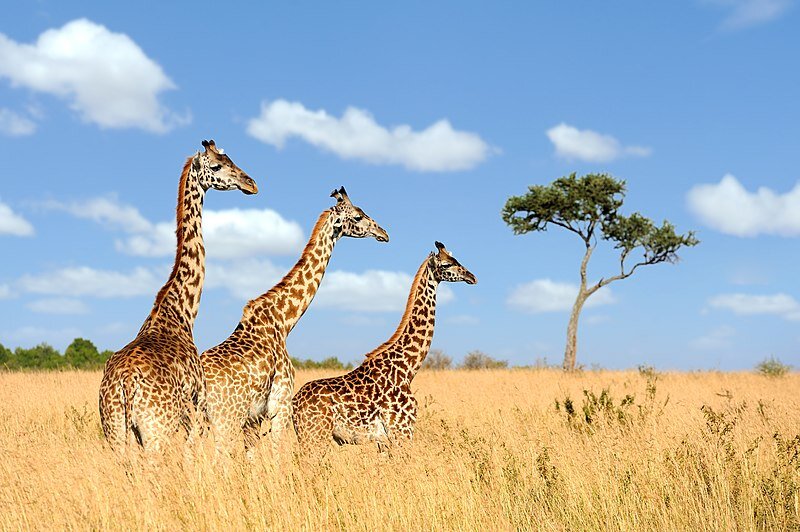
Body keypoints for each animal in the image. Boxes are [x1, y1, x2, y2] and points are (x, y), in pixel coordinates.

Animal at [98, 140, 258, 453]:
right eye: (217, 166)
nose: (252, 184)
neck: (181, 310)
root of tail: (124, 383)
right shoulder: (197, 406)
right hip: (155, 431)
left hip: (115, 432)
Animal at [201, 187, 389, 456]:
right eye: (358, 216)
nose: (384, 233)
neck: (283, 320)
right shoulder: (280, 404)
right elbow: (278, 454)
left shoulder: (255, 418)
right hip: (225, 418)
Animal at [291, 241, 476, 457]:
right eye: (447, 264)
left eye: (457, 259)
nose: (472, 276)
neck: (408, 369)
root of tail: (294, 404)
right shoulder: (402, 430)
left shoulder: (384, 441)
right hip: (315, 436)